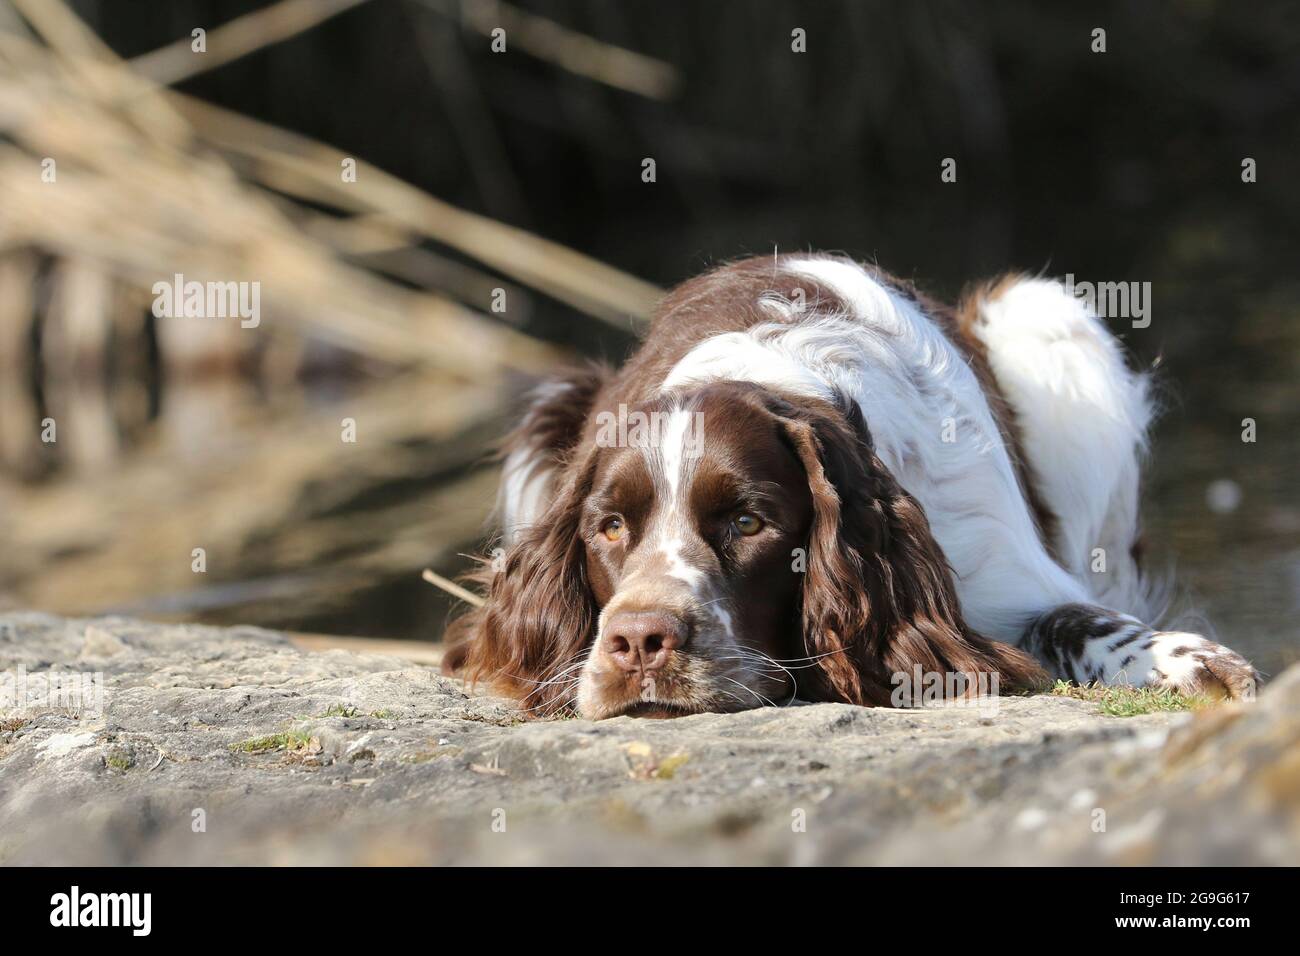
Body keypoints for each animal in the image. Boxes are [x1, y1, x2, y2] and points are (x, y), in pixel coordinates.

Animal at [447, 254, 1258, 717]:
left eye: (748, 524)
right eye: (609, 527)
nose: (640, 641)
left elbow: (1081, 619)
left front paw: (1187, 662)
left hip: (1047, 317)